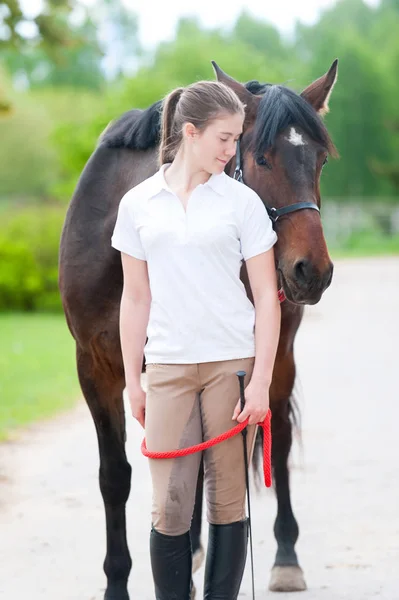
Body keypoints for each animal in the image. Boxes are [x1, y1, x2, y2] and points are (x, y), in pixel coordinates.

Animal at [59, 58, 340, 596]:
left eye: (320, 161)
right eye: (261, 158)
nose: (312, 272)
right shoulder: (96, 368)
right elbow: (117, 475)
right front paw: (118, 581)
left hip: (275, 358)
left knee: (276, 441)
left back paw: (285, 557)